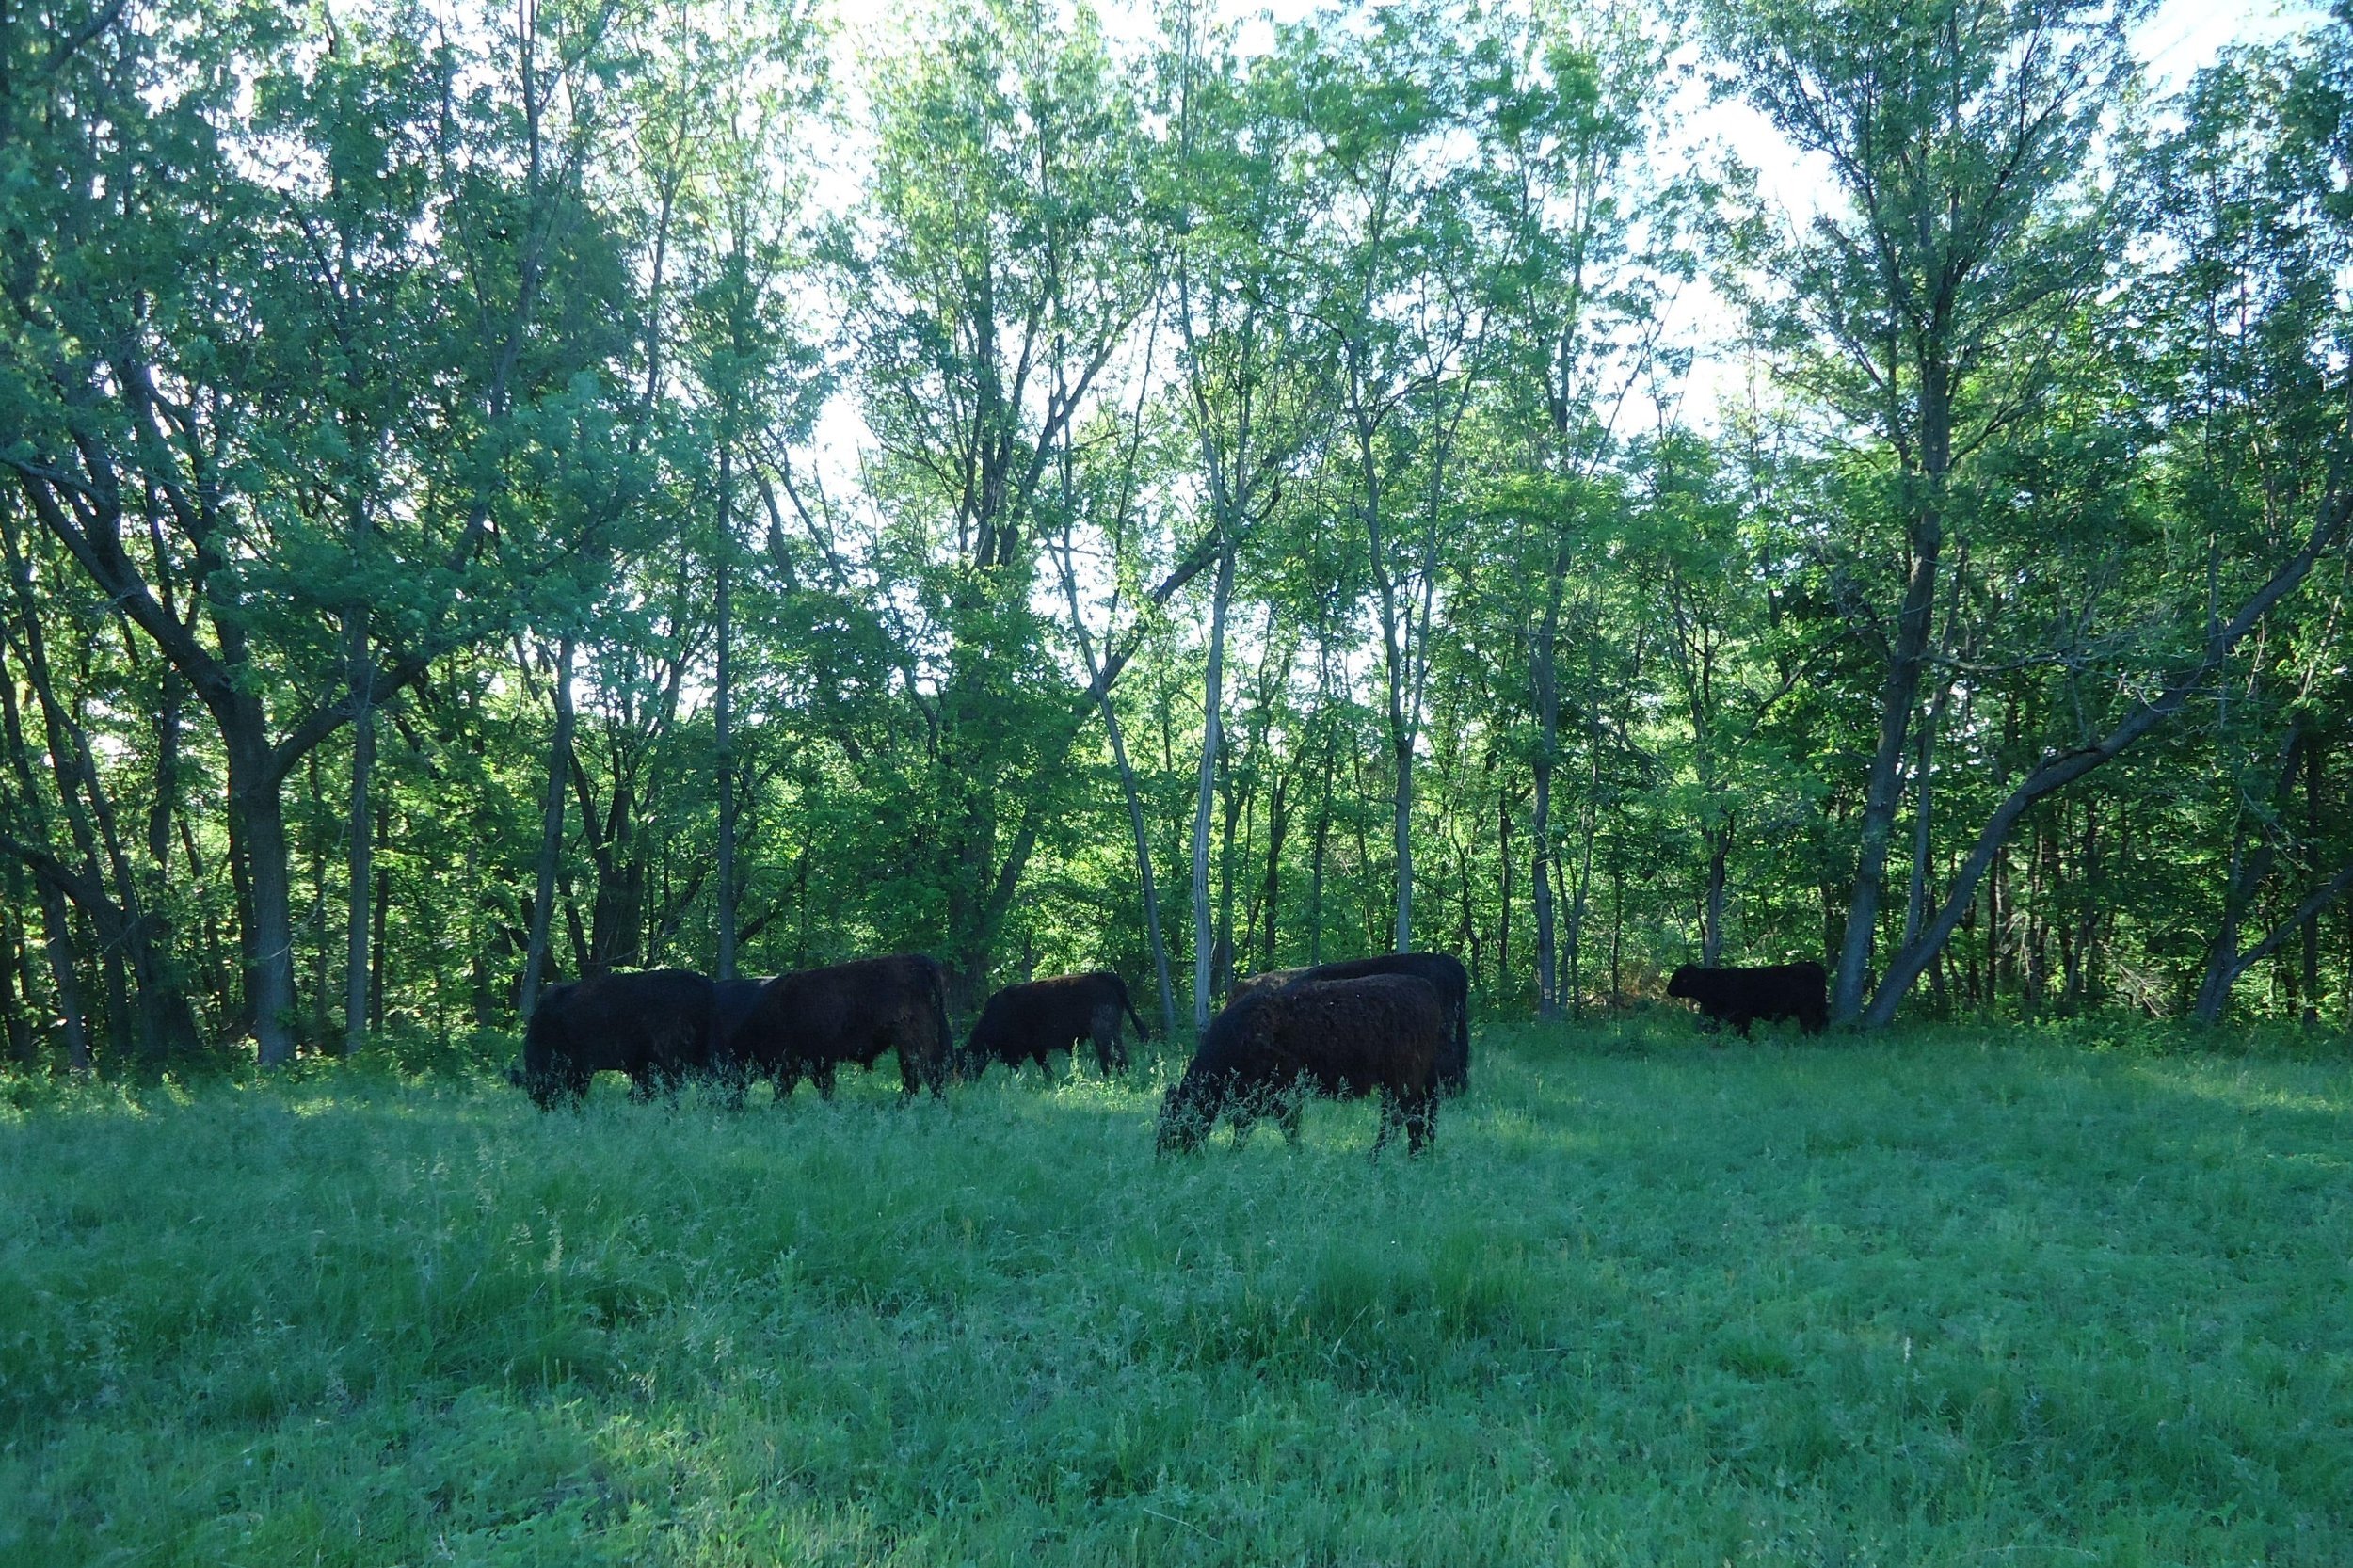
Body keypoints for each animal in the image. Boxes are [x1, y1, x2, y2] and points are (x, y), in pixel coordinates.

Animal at [727, 954, 953, 1100]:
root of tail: (921, 962)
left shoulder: (790, 1061)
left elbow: (786, 1087)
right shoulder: (820, 1061)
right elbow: (824, 1087)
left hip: (914, 1042)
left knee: (928, 1074)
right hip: (906, 1046)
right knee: (915, 1076)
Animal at [960, 970, 1150, 1081]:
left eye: (964, 1062)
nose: (965, 1080)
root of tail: (1105, 975)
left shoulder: (1022, 1050)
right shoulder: (1035, 1048)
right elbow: (1043, 1065)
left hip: (1104, 1030)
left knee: (1113, 1054)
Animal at [1156, 974, 1445, 1158]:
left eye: (1173, 1118)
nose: (1162, 1154)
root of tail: (1425, 987)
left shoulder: (1279, 1093)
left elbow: (1282, 1125)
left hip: (1400, 1081)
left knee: (1397, 1118)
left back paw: (1375, 1156)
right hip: (1405, 1083)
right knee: (1417, 1116)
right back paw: (1416, 1154)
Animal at [1665, 960, 1828, 1039]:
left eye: (1678, 979)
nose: (1668, 989)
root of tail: (1811, 964)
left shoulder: (1742, 1016)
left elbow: (1742, 1031)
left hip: (1807, 1010)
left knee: (1808, 1025)